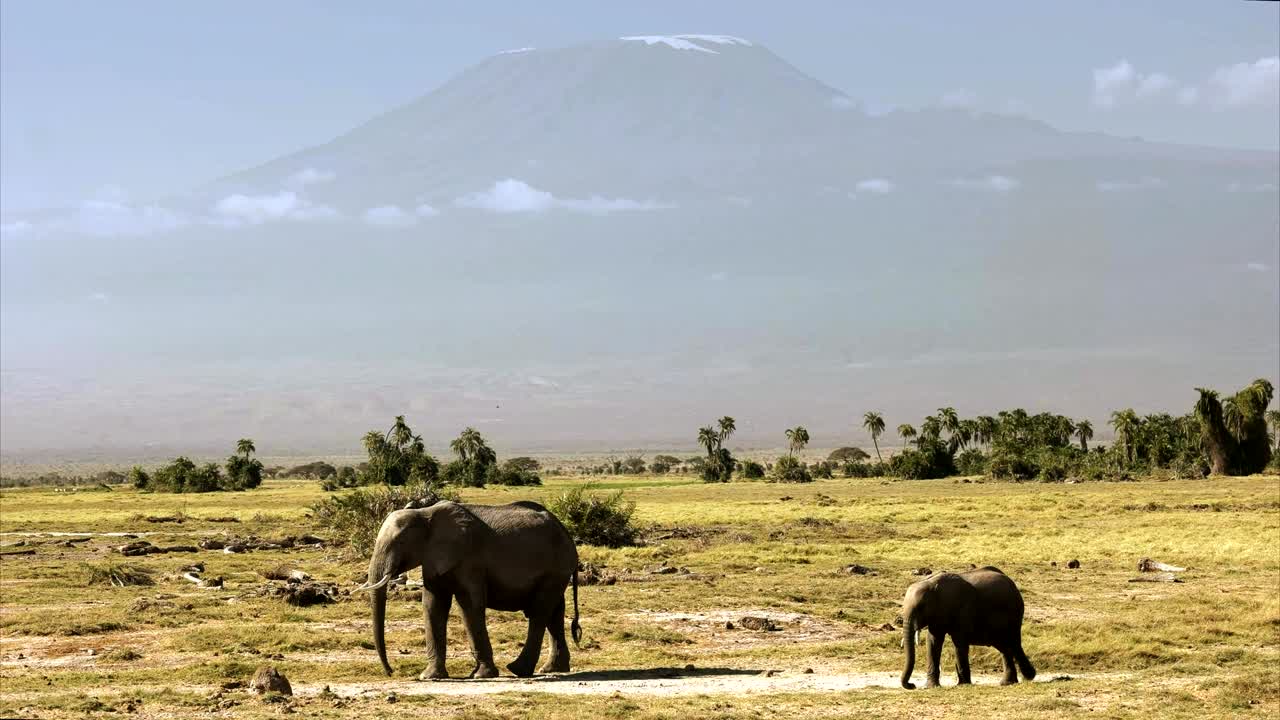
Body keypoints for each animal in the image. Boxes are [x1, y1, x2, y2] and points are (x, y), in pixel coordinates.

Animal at [356, 500, 581, 679]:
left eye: (400, 542)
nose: (390, 672)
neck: (425, 514)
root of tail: (566, 532)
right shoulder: (434, 559)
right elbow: (432, 606)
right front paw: (430, 677)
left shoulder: (469, 560)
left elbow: (469, 605)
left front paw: (481, 675)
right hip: (556, 572)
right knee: (554, 612)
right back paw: (552, 669)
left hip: (555, 569)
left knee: (539, 612)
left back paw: (519, 670)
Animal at [899, 566, 1035, 689]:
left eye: (920, 607)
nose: (912, 685)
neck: (931, 584)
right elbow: (933, 642)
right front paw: (931, 687)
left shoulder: (962, 609)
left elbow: (959, 642)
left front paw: (963, 684)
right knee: (1005, 646)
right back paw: (1009, 682)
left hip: (1014, 613)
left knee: (1013, 643)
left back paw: (1026, 677)